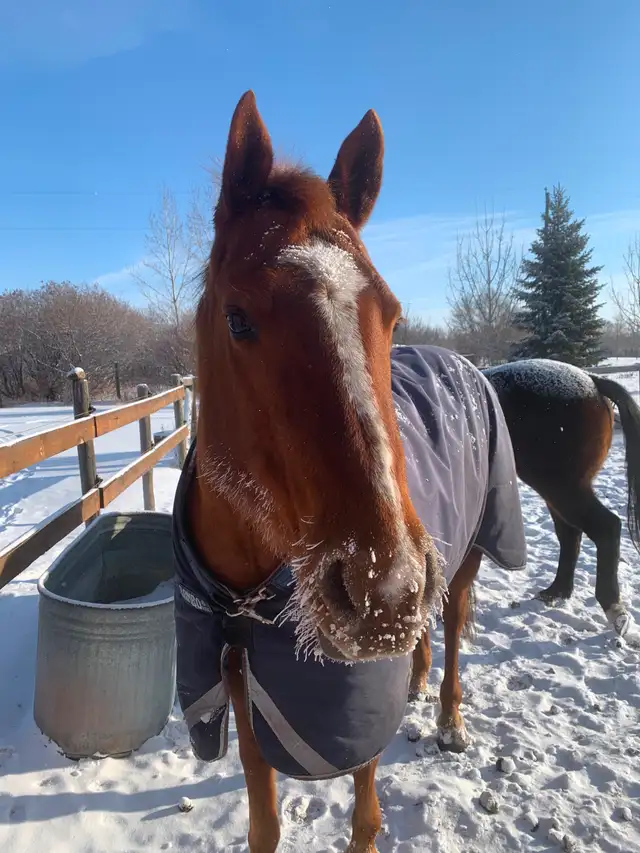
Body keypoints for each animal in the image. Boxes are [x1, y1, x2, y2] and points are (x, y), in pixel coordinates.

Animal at [171, 90, 527, 853]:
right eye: (238, 318)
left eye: (390, 314)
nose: (382, 590)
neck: (249, 593)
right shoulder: (243, 678)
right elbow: (263, 814)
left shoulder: (359, 696)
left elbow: (365, 806)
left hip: (465, 556)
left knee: (453, 621)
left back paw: (450, 717)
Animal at [481, 359, 640, 638]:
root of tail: (591, 379)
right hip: (557, 492)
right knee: (570, 535)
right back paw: (556, 592)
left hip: (562, 488)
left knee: (605, 527)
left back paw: (614, 610)